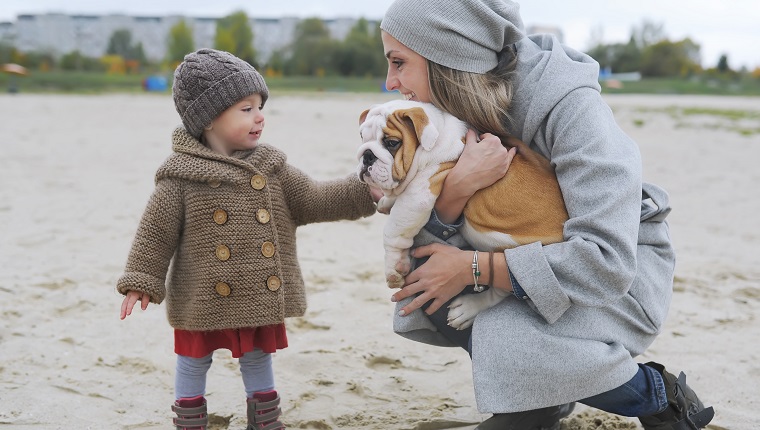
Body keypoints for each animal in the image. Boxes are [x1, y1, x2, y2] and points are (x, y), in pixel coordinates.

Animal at [360, 100, 568, 330]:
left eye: (392, 143)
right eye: (362, 137)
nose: (366, 155)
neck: (436, 136)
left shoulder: (419, 193)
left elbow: (394, 231)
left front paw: (393, 268)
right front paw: (386, 202)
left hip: (509, 246)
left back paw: (467, 309)